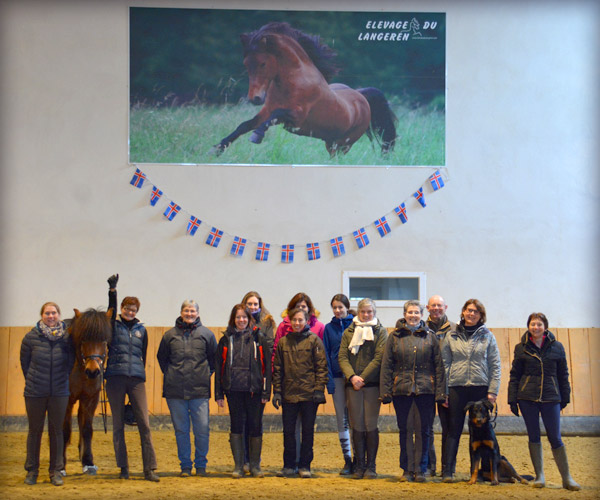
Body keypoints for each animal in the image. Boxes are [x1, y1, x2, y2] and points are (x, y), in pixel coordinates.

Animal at [61, 306, 112, 474]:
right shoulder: (67, 400)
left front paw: (88, 461)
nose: (93, 371)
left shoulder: (91, 398)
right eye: (83, 339)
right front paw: (61, 464)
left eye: (104, 340)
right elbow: (65, 430)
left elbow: (87, 429)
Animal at [213, 21, 396, 156]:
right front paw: (217, 149)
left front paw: (256, 136)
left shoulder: (296, 118)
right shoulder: (266, 111)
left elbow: (275, 115)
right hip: (330, 142)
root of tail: (361, 96)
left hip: (343, 145)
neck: (293, 82)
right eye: (246, 64)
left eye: (263, 63)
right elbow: (244, 125)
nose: (255, 98)